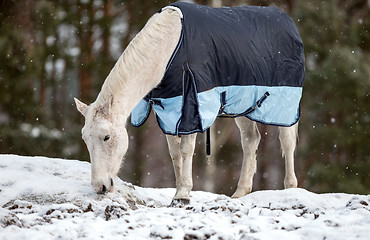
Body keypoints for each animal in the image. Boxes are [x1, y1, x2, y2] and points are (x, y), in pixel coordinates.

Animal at [74, 5, 298, 204]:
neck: (171, 47)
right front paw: (178, 192)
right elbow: (174, 153)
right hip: (243, 105)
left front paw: (183, 194)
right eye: (84, 138)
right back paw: (240, 193)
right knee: (250, 140)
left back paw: (290, 188)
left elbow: (186, 150)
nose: (100, 187)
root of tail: (288, 21)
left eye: (107, 137)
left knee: (287, 141)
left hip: (286, 103)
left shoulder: (191, 106)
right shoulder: (168, 110)